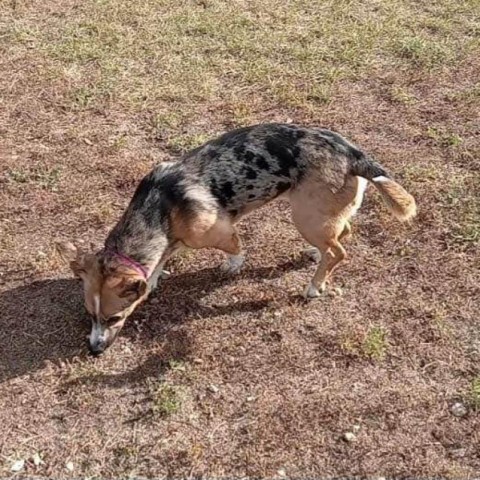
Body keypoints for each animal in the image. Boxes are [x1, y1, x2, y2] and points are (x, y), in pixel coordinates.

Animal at [57, 124, 416, 354]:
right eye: (90, 316)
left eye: (114, 318)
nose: (94, 350)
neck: (159, 207)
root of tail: (354, 153)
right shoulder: (168, 242)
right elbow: (160, 263)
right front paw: (154, 279)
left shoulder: (218, 231)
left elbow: (234, 249)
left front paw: (233, 265)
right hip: (323, 216)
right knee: (343, 234)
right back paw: (316, 256)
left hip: (305, 217)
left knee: (339, 251)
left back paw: (315, 286)